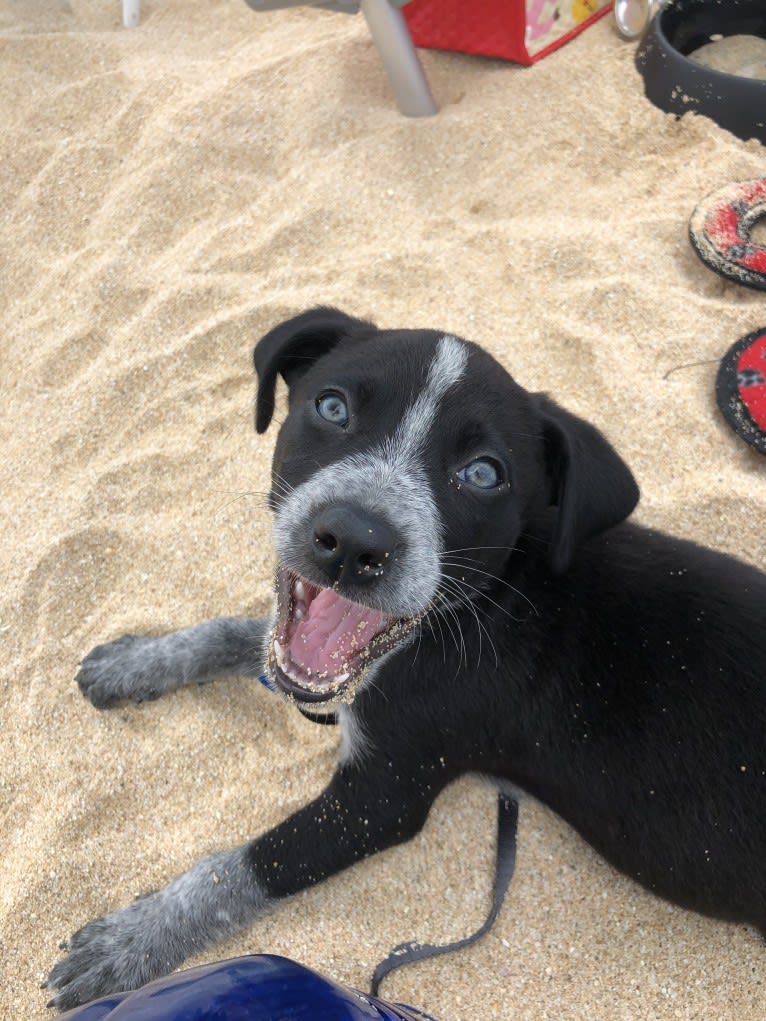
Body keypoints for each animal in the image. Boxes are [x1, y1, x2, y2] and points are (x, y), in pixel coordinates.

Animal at [48, 306, 766, 1008]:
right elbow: (238, 633)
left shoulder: (382, 798)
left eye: (483, 473)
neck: (474, 608)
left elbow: (243, 864)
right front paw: (138, 662)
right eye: (331, 407)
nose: (351, 541)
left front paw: (134, 940)